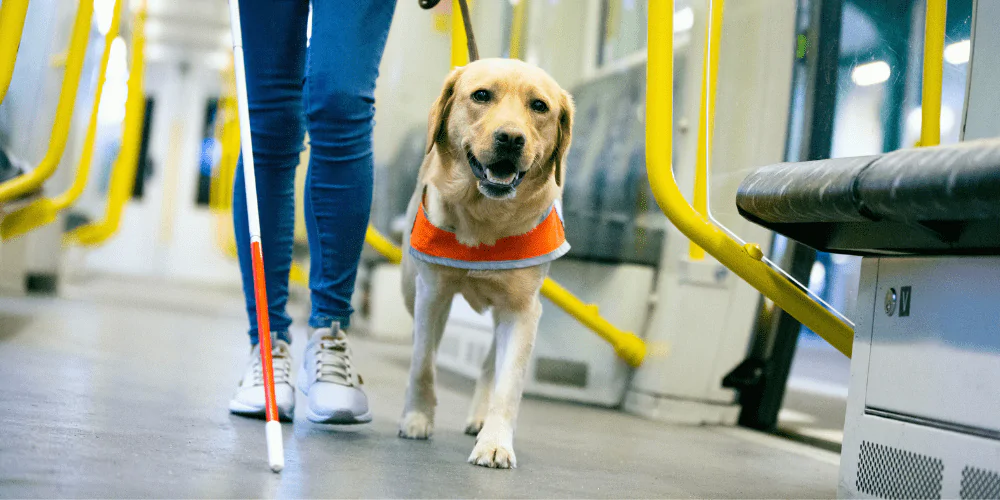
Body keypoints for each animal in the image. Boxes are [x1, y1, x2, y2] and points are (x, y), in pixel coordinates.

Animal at [396, 58, 576, 468]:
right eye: (481, 95)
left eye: (539, 106)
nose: (510, 138)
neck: (485, 217)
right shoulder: (431, 296)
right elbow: (423, 364)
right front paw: (417, 418)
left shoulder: (523, 310)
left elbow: (508, 384)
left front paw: (495, 442)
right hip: (411, 291)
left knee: (491, 362)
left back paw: (480, 418)